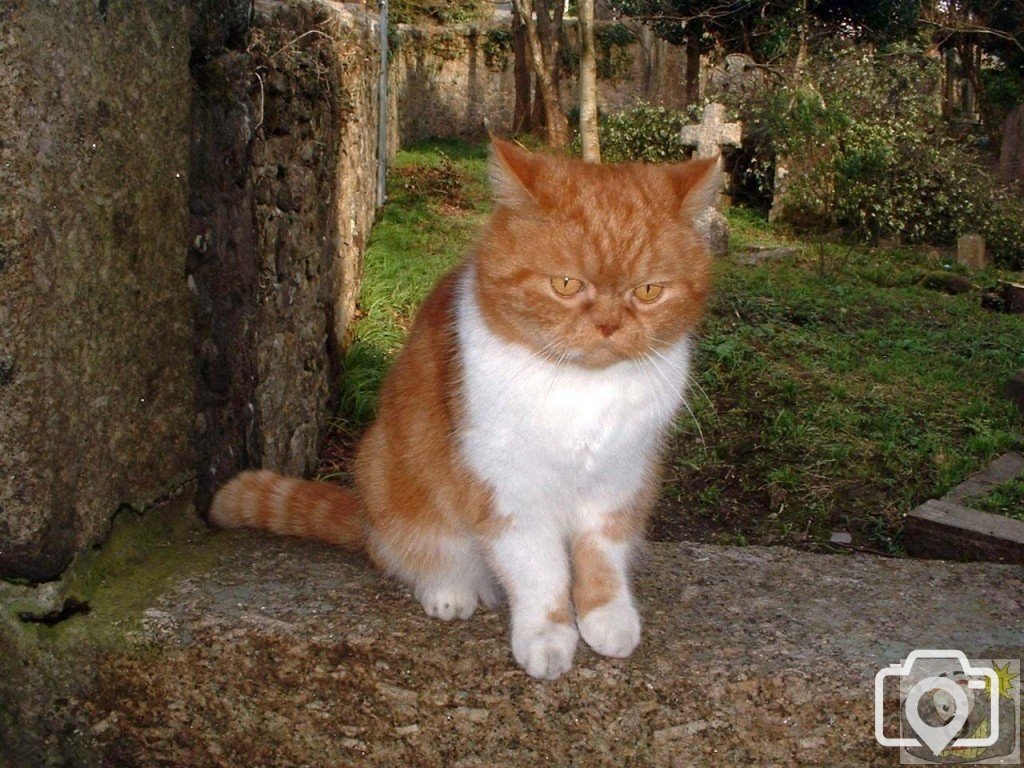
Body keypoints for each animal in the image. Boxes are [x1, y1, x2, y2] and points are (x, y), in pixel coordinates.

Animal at [211, 140, 716, 679]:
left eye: (648, 291)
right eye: (565, 284)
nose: (608, 326)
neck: (582, 388)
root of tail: (364, 519)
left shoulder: (619, 481)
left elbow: (602, 557)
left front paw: (607, 618)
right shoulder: (507, 492)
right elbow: (540, 573)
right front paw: (547, 636)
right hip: (387, 471)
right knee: (410, 552)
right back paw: (447, 590)